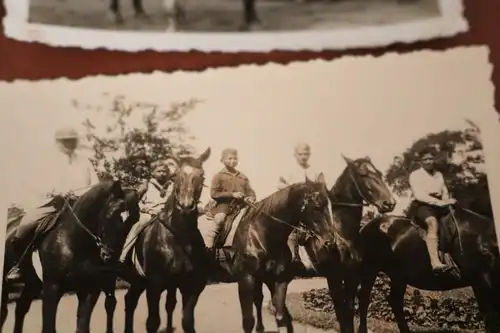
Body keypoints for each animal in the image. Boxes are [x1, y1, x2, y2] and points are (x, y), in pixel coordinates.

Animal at [0, 179, 131, 332]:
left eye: (133, 219)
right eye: (111, 215)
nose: (110, 257)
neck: (72, 242)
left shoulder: (89, 290)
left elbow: (82, 326)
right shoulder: (52, 288)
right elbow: (49, 327)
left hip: (33, 284)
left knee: (20, 308)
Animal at [122, 148, 212, 332]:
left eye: (202, 176)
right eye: (176, 175)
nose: (186, 206)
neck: (179, 239)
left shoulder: (191, 287)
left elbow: (187, 322)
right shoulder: (154, 286)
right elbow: (153, 322)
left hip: (138, 282)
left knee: (130, 301)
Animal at [290, 156, 394, 332]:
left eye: (379, 173)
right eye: (363, 174)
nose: (389, 203)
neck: (342, 234)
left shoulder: (352, 276)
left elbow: (349, 311)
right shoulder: (333, 277)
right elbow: (341, 312)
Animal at [358, 202, 498, 330]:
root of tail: (366, 226)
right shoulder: (482, 281)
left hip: (398, 276)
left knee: (395, 301)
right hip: (370, 269)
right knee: (364, 299)